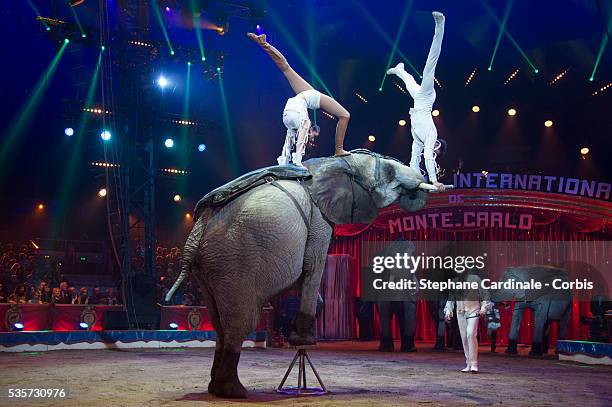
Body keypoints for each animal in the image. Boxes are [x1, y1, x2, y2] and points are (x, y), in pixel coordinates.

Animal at [165, 149, 432, 398]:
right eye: (388, 171)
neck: (336, 161)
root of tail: (199, 228)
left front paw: (300, 333)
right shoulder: (319, 219)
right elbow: (313, 265)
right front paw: (305, 340)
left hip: (209, 269)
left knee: (219, 323)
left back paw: (214, 388)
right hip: (232, 262)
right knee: (241, 322)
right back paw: (234, 392)